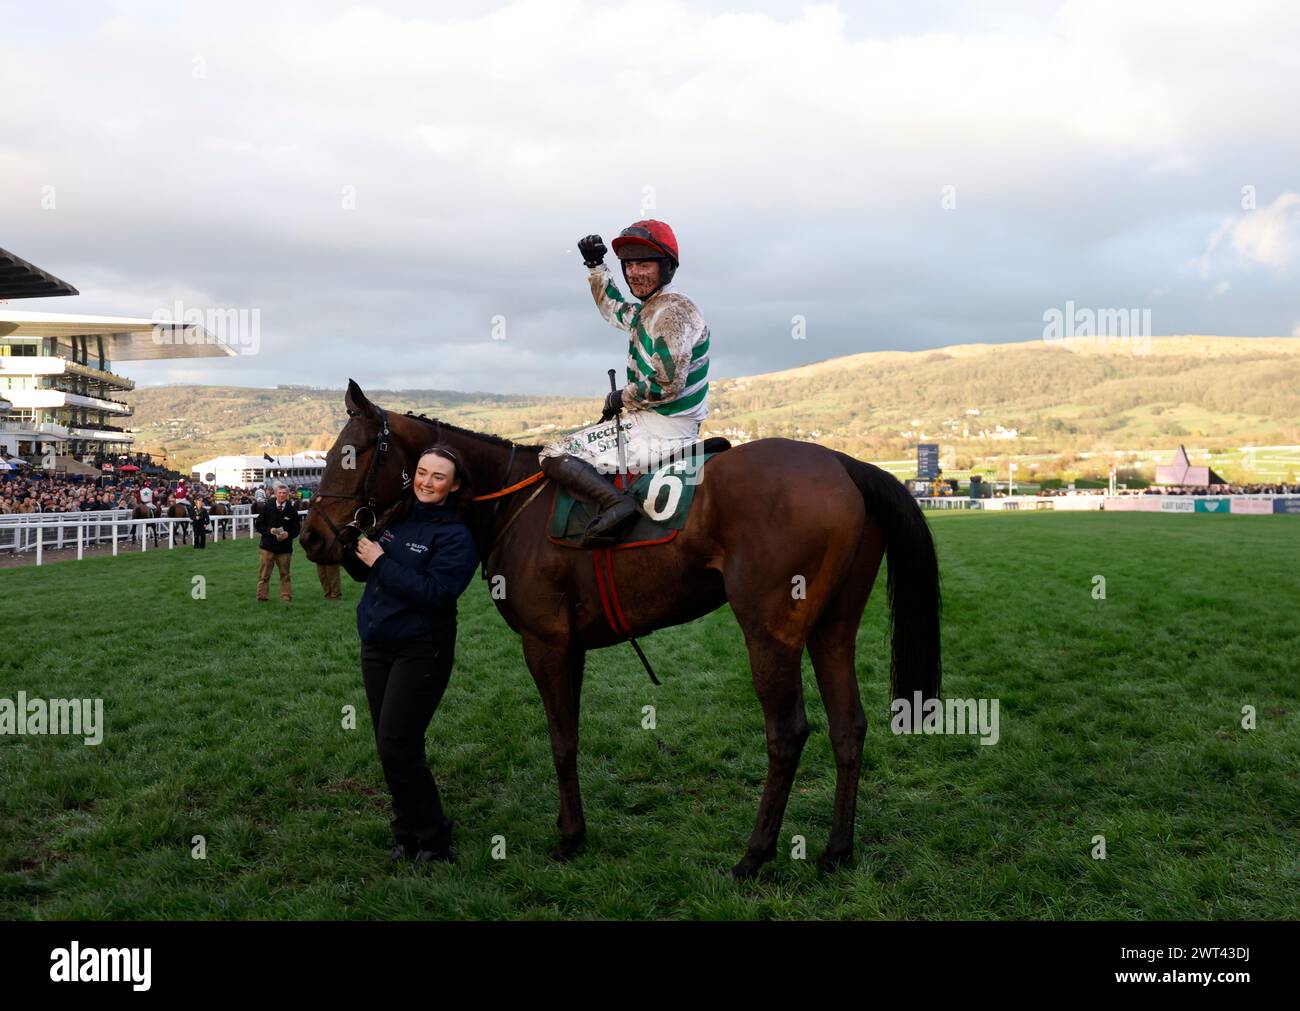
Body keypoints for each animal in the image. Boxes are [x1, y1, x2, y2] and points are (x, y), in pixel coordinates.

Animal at [299, 379, 941, 873]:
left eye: (350, 454)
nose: (311, 536)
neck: (507, 504)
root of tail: (843, 463)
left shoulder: (546, 643)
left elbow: (560, 741)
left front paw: (568, 839)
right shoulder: (571, 646)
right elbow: (572, 737)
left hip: (770, 632)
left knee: (787, 733)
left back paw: (754, 856)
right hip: (833, 628)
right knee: (847, 727)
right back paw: (836, 851)